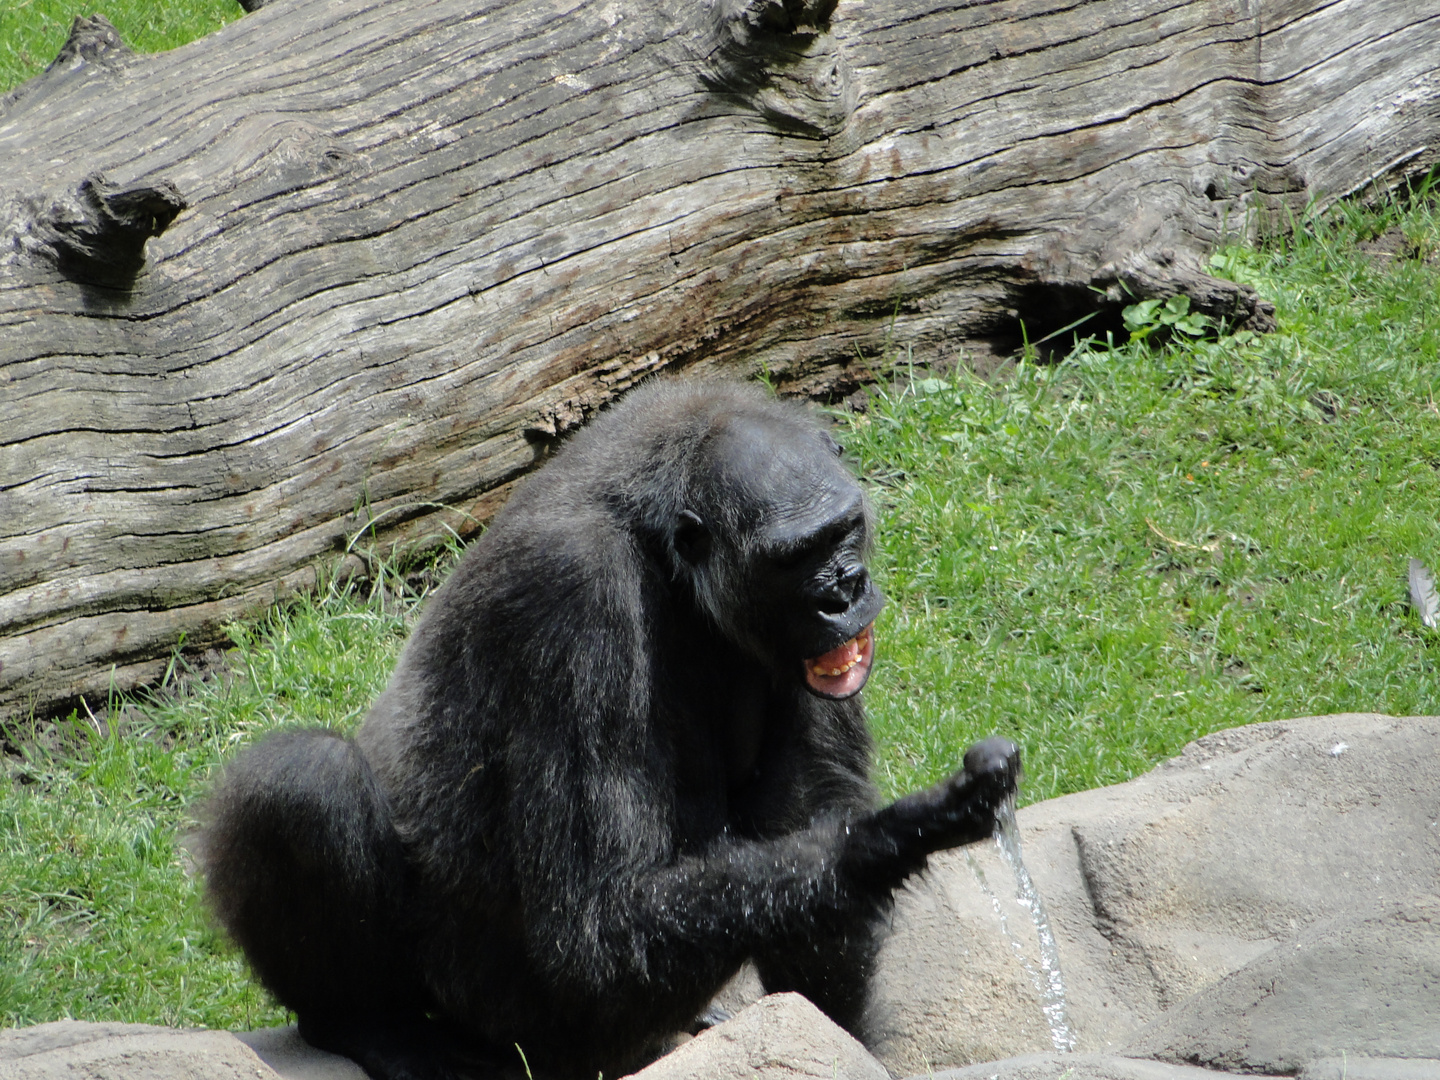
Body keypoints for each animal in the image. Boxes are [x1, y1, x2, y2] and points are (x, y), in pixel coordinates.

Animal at [203, 380, 1019, 1080]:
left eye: (844, 532)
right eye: (794, 559)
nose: (844, 591)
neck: (671, 560)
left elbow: (811, 811)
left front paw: (837, 1035)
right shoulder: (573, 597)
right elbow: (596, 923)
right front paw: (890, 838)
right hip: (511, 1027)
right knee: (306, 782)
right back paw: (372, 1029)